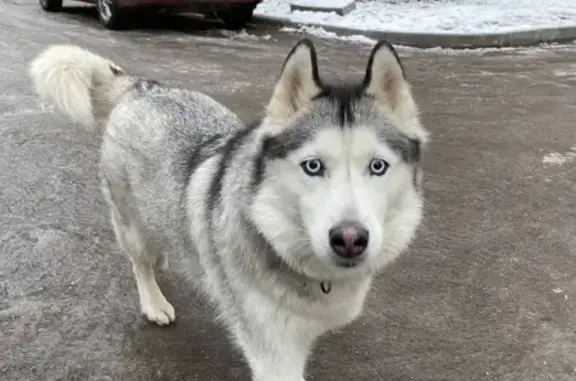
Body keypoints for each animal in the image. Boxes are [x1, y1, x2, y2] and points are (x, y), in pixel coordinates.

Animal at [30, 37, 428, 380]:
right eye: (313, 166)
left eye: (377, 166)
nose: (349, 239)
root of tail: (144, 88)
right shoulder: (272, 354)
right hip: (129, 222)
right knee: (139, 263)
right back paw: (153, 300)